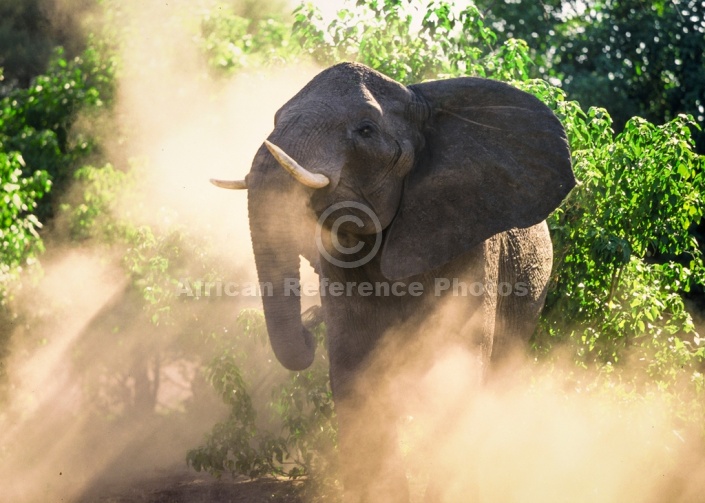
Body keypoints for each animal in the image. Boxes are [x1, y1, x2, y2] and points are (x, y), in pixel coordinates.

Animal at [212, 63, 576, 503]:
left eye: (366, 130)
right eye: (275, 118)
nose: (309, 331)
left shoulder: (471, 243)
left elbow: (455, 369)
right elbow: (354, 374)